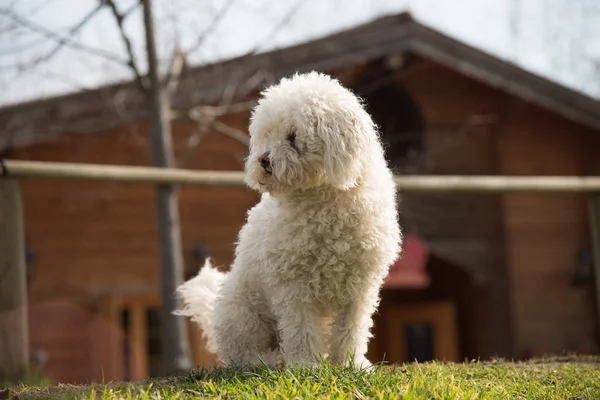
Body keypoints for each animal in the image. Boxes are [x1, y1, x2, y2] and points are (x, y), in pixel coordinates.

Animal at [178, 72, 404, 368]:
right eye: (266, 135)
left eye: (293, 136)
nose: (263, 160)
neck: (324, 202)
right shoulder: (292, 284)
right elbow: (301, 330)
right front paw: (307, 365)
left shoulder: (361, 286)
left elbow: (351, 329)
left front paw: (350, 364)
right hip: (242, 313)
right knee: (244, 355)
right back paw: (275, 359)